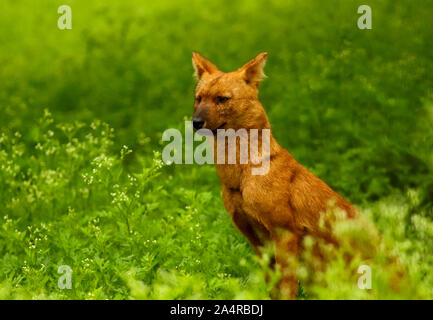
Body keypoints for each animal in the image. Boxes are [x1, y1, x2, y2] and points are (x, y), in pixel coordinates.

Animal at [192, 51, 364, 298]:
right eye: (198, 98)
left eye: (222, 99)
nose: (196, 122)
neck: (239, 178)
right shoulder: (256, 238)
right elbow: (272, 287)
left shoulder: (284, 232)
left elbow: (286, 286)